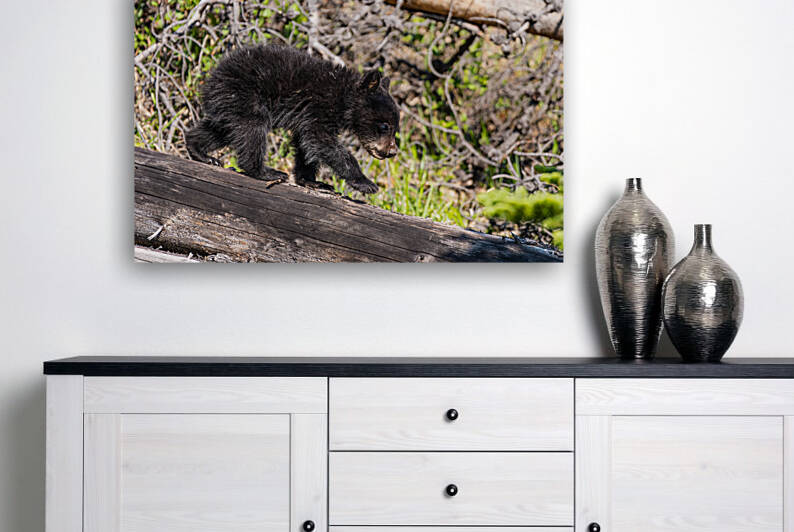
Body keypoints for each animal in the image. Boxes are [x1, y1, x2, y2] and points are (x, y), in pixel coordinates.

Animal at [186, 44, 400, 194]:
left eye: (395, 128)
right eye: (384, 126)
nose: (392, 151)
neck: (342, 99)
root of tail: (213, 75)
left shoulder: (307, 116)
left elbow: (306, 144)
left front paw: (314, 182)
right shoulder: (319, 107)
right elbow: (321, 140)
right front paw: (365, 183)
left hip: (230, 104)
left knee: (221, 129)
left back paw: (201, 152)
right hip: (247, 96)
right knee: (252, 130)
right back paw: (266, 172)